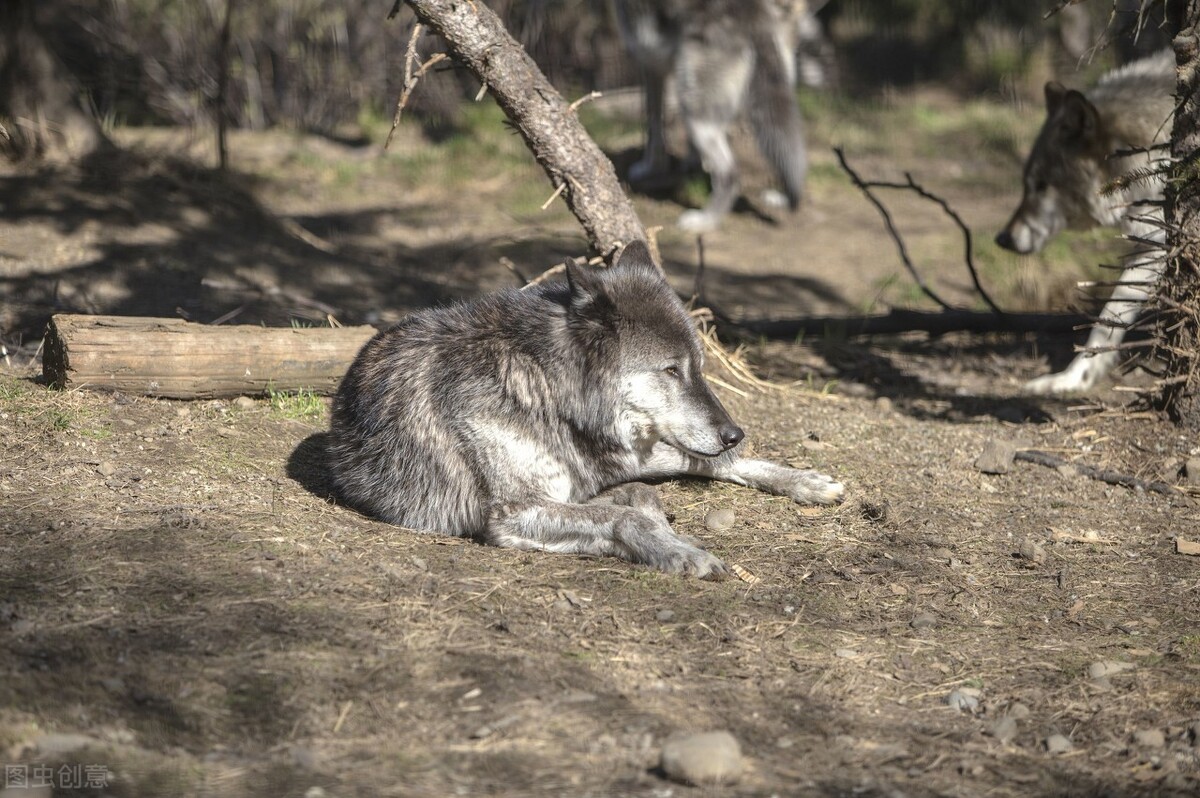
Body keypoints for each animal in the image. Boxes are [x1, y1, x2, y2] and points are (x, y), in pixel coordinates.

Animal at [324, 240, 840, 576]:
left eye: (698, 367)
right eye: (672, 370)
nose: (734, 432)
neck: (546, 391)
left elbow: (643, 500)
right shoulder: (513, 513)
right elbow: (628, 513)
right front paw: (681, 551)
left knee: (706, 462)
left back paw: (809, 482)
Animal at [609, 0, 816, 230]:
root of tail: (752, 16)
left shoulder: (650, 66)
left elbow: (653, 127)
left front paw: (650, 168)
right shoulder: (658, 71)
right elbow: (661, 130)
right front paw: (686, 164)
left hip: (696, 112)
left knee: (730, 174)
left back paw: (704, 221)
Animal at [993, 48, 1171, 391]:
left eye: (1042, 184)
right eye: (1025, 183)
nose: (1003, 239)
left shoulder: (1158, 241)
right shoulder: (1149, 244)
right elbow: (1107, 322)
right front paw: (1071, 380)